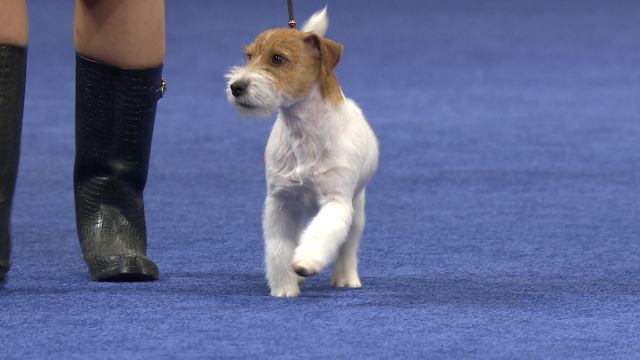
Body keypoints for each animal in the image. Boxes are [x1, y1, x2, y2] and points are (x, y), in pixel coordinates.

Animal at [225, 7, 378, 298]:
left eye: (277, 58)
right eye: (249, 56)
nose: (236, 86)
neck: (303, 131)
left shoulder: (336, 202)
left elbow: (322, 234)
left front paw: (305, 261)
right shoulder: (280, 204)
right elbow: (279, 249)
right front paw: (284, 286)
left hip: (357, 209)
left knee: (348, 244)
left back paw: (345, 277)